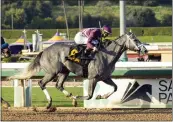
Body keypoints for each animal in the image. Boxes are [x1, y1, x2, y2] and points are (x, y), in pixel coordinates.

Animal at [9, 31, 147, 108]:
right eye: (135, 39)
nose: (145, 50)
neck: (107, 55)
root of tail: (43, 51)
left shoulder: (105, 77)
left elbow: (115, 87)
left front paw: (100, 96)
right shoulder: (93, 78)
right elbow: (89, 96)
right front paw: (79, 98)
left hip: (64, 71)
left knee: (59, 85)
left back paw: (70, 97)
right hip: (52, 72)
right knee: (41, 83)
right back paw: (50, 103)